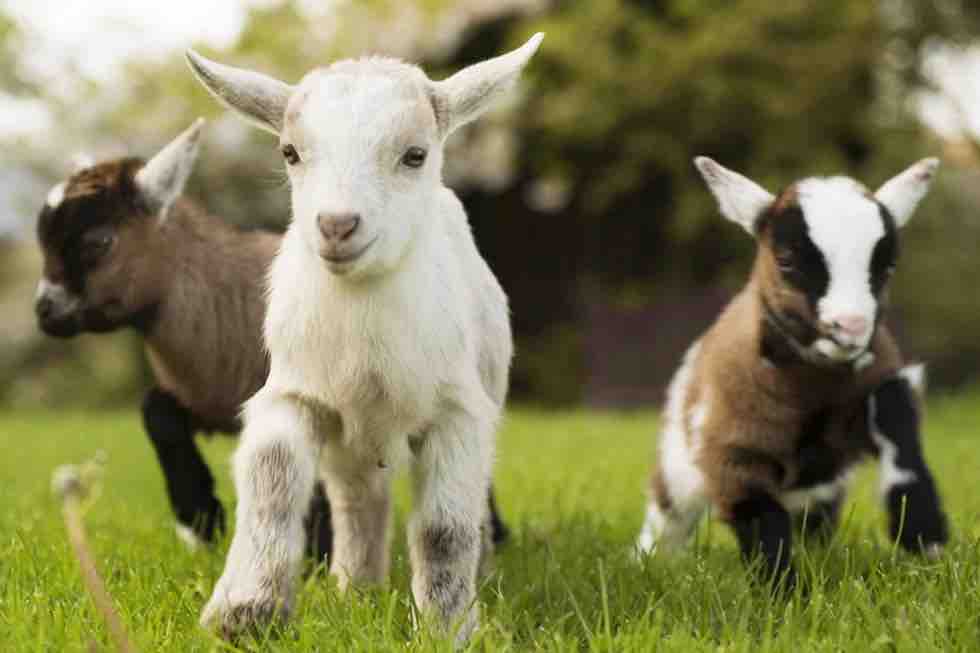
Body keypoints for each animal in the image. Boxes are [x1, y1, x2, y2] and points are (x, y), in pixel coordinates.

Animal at [636, 157, 948, 580]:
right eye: (786, 261)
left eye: (887, 267)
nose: (850, 326)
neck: (814, 387)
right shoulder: (734, 454)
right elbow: (762, 522)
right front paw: (783, 591)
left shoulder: (875, 391)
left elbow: (896, 419)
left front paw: (924, 535)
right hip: (678, 463)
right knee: (667, 515)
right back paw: (645, 562)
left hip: (818, 489)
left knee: (815, 519)